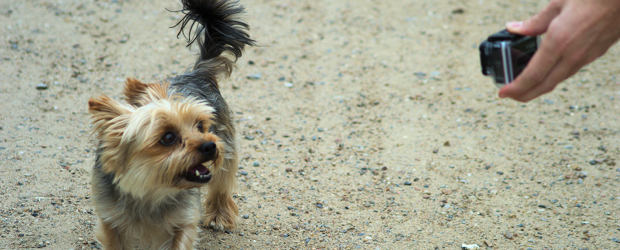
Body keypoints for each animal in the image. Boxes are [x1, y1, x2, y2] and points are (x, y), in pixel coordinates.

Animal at [86, 0, 253, 248]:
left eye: (200, 126)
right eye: (167, 138)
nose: (210, 145)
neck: (152, 190)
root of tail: (197, 73)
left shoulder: (184, 221)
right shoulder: (110, 220)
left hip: (227, 148)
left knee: (222, 181)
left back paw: (219, 216)